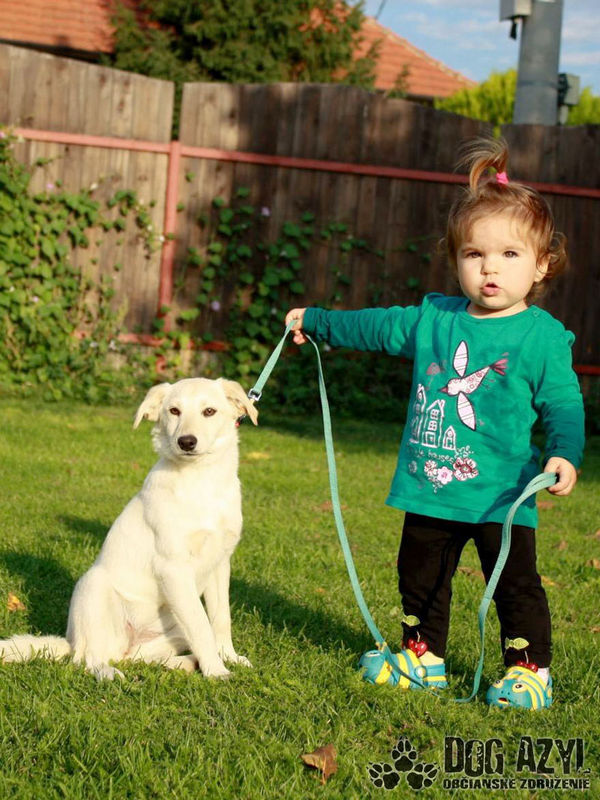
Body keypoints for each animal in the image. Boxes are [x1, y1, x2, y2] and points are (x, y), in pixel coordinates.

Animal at [0, 378, 258, 680]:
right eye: (174, 411)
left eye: (209, 411)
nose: (186, 442)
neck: (202, 482)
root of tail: (72, 640)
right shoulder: (174, 568)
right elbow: (201, 624)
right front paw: (217, 671)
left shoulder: (220, 564)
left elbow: (219, 620)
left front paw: (228, 657)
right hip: (93, 585)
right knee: (88, 659)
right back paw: (108, 673)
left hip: (169, 628)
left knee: (135, 657)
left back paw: (185, 662)